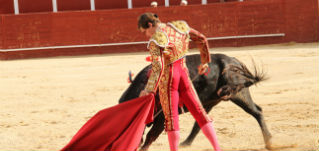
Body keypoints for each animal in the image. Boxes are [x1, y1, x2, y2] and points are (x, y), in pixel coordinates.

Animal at [119, 53, 274, 150]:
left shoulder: (162, 117)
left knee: (257, 112)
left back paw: (270, 142)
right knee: (200, 123)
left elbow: (150, 136)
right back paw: (186, 143)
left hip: (238, 94)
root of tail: (234, 61)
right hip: (210, 101)